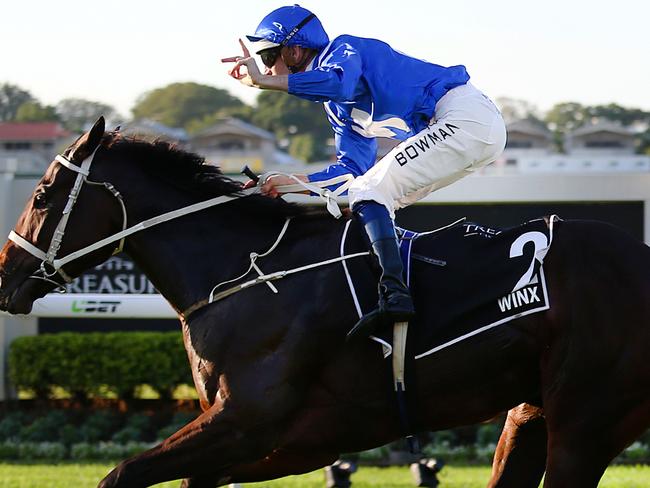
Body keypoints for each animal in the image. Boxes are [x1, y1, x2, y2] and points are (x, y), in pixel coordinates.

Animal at [0, 116, 644, 486]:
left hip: (584, 425)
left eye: (43, 193)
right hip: (528, 416)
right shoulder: (261, 444)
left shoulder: (251, 426)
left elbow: (119, 476)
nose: (6, 277)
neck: (245, 271)